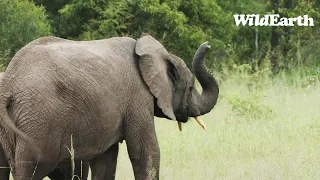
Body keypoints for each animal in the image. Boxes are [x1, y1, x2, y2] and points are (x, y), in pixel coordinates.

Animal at [0, 33, 219, 179]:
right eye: (190, 87)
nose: (208, 44)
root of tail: (9, 83)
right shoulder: (137, 96)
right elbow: (145, 151)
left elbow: (106, 159)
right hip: (38, 121)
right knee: (33, 168)